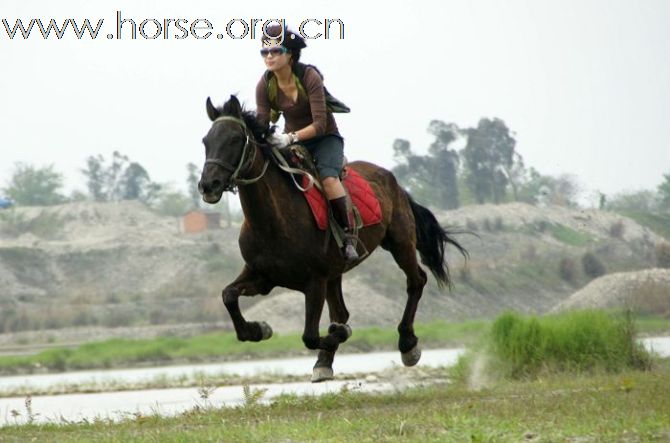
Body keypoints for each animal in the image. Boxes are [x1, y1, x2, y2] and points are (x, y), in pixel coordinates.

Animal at [201, 95, 468, 384]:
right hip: (337, 271)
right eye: (206, 141)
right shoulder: (262, 276)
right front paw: (259, 329)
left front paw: (340, 333)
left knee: (416, 281)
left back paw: (407, 344)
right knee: (341, 311)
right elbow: (229, 296)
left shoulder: (314, 281)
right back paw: (324, 363)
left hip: (400, 243)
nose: (208, 185)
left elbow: (310, 335)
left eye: (235, 139)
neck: (273, 222)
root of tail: (393, 181)